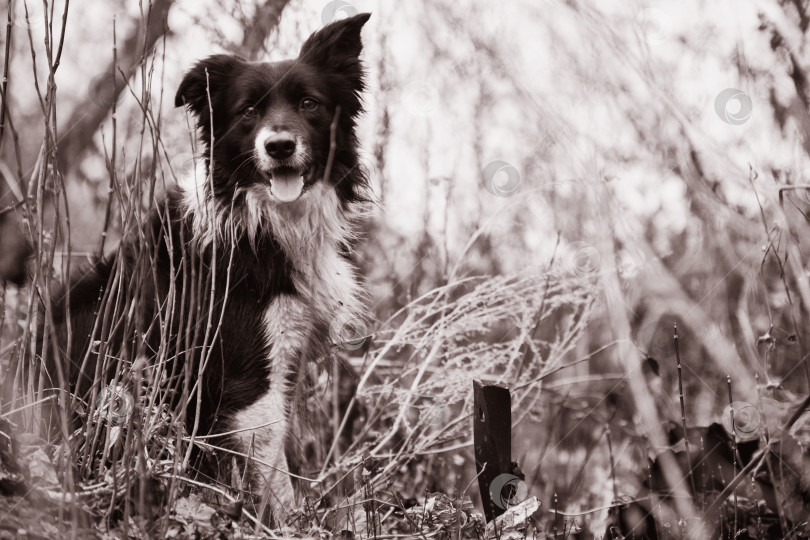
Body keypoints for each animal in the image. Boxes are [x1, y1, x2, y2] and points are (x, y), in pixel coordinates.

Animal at [52, 11, 374, 520]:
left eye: (309, 103)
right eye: (248, 112)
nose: (279, 146)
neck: (263, 221)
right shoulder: (250, 379)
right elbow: (276, 472)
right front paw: (286, 522)